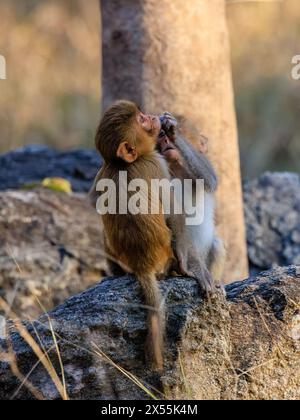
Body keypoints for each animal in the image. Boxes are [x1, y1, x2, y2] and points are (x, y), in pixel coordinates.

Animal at [92, 101, 176, 370]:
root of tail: (143, 264)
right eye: (142, 120)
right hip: (166, 258)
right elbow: (173, 212)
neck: (122, 164)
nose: (152, 116)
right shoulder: (156, 164)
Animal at [157, 113, 225, 294]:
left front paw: (175, 133)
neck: (176, 169)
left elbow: (209, 178)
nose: (166, 138)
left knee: (217, 245)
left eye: (182, 129)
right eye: (160, 135)